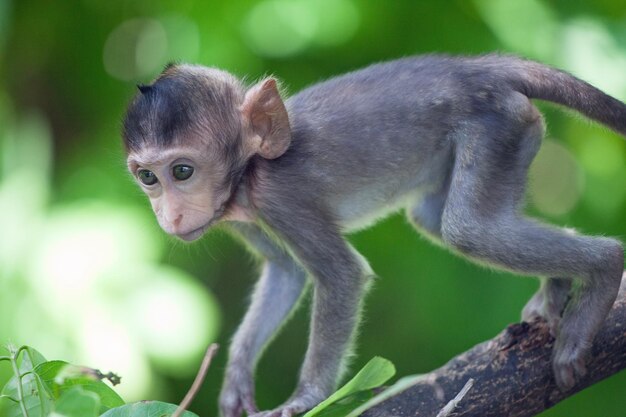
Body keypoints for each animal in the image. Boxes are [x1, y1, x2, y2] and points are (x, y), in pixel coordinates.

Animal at [123, 55, 624, 416]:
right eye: (148, 177)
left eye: (182, 171)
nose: (169, 215)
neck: (251, 167)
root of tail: (475, 66)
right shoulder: (242, 215)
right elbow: (285, 271)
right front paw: (236, 378)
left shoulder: (281, 198)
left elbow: (342, 275)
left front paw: (305, 400)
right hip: (511, 135)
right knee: (434, 218)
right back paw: (557, 286)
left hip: (498, 125)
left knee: (470, 230)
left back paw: (603, 270)